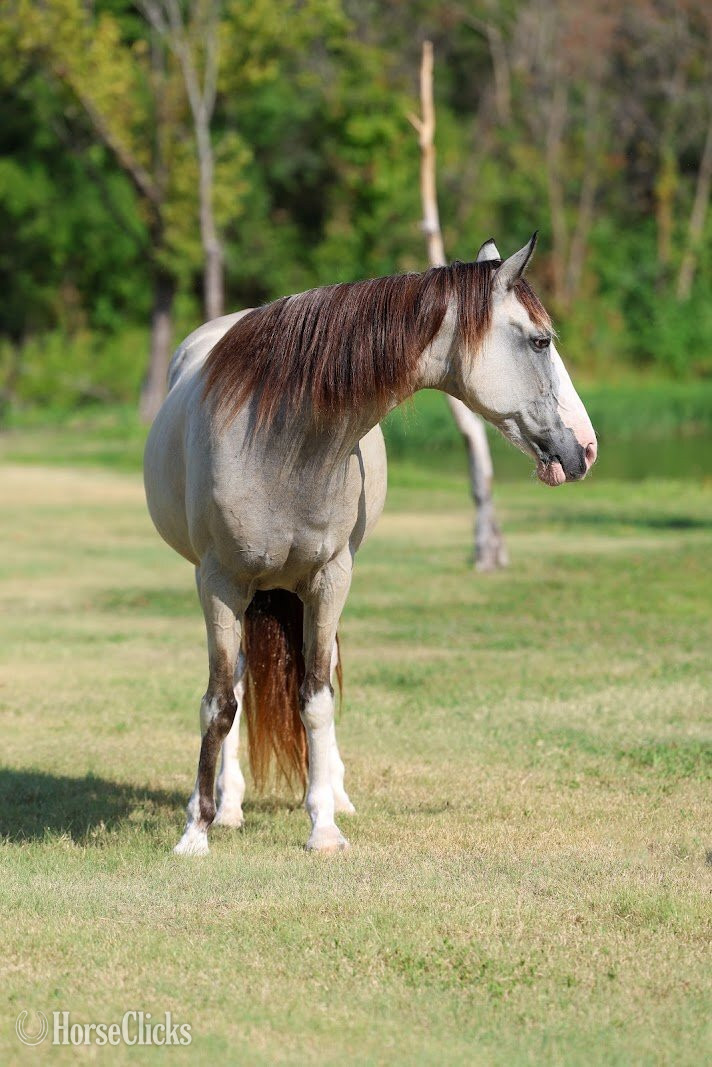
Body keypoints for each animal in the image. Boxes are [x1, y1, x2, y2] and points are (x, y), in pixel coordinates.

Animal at [143, 233, 597, 855]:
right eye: (540, 340)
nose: (587, 448)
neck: (280, 443)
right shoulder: (218, 583)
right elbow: (218, 704)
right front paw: (196, 831)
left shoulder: (330, 579)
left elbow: (315, 698)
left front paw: (323, 828)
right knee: (234, 680)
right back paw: (226, 805)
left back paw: (332, 795)